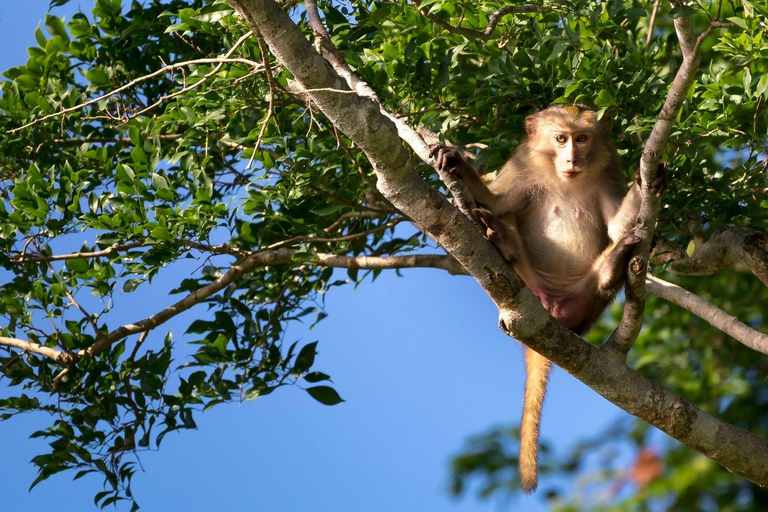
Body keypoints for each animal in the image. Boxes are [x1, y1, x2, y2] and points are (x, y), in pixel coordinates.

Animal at [432, 104, 664, 492]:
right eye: (560, 138)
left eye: (582, 138)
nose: (572, 157)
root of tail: (551, 310)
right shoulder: (523, 166)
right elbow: (498, 201)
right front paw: (457, 164)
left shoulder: (608, 170)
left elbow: (618, 227)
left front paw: (646, 180)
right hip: (525, 283)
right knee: (501, 221)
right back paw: (501, 240)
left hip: (584, 304)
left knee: (619, 253)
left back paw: (612, 267)